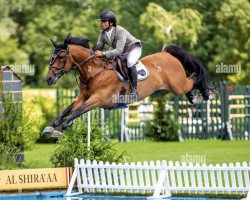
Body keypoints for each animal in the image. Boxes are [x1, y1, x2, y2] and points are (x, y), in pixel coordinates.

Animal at [42, 36, 215, 138]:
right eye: (52, 56)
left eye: (61, 57)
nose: (49, 79)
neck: (94, 71)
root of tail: (166, 53)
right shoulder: (83, 97)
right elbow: (68, 109)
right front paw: (51, 127)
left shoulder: (98, 99)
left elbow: (77, 111)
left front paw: (61, 128)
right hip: (167, 90)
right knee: (189, 84)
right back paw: (194, 98)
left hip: (177, 85)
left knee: (193, 77)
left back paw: (206, 94)